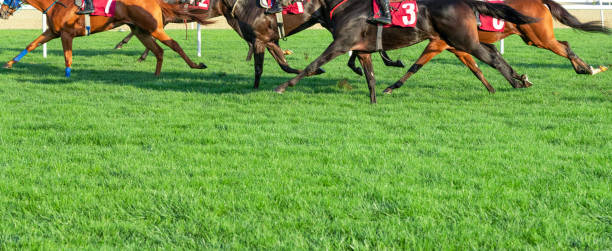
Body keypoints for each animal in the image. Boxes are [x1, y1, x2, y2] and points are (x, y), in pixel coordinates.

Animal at [1, 0, 213, 76]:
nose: (2, 11)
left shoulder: (66, 34)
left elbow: (67, 57)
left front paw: (67, 76)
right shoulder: (52, 32)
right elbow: (31, 45)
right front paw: (9, 64)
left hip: (153, 28)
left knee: (173, 44)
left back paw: (196, 65)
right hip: (141, 31)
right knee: (158, 50)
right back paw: (155, 76)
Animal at [272, 0, 536, 103]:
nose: (273, 7)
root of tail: (466, 3)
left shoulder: (341, 44)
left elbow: (312, 65)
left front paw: (282, 86)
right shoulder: (361, 49)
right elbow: (370, 77)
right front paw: (374, 101)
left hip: (463, 40)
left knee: (493, 57)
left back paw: (516, 82)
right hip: (460, 40)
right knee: (491, 56)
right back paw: (517, 80)